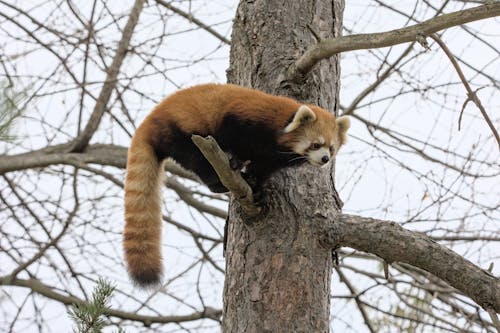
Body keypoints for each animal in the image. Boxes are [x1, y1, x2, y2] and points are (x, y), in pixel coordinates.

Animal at [123, 83, 350, 286]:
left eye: (331, 148)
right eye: (316, 144)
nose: (325, 159)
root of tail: (149, 122)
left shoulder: (271, 156)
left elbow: (261, 169)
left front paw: (256, 187)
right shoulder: (243, 119)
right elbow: (232, 137)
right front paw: (237, 162)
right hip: (182, 130)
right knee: (196, 158)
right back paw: (217, 181)